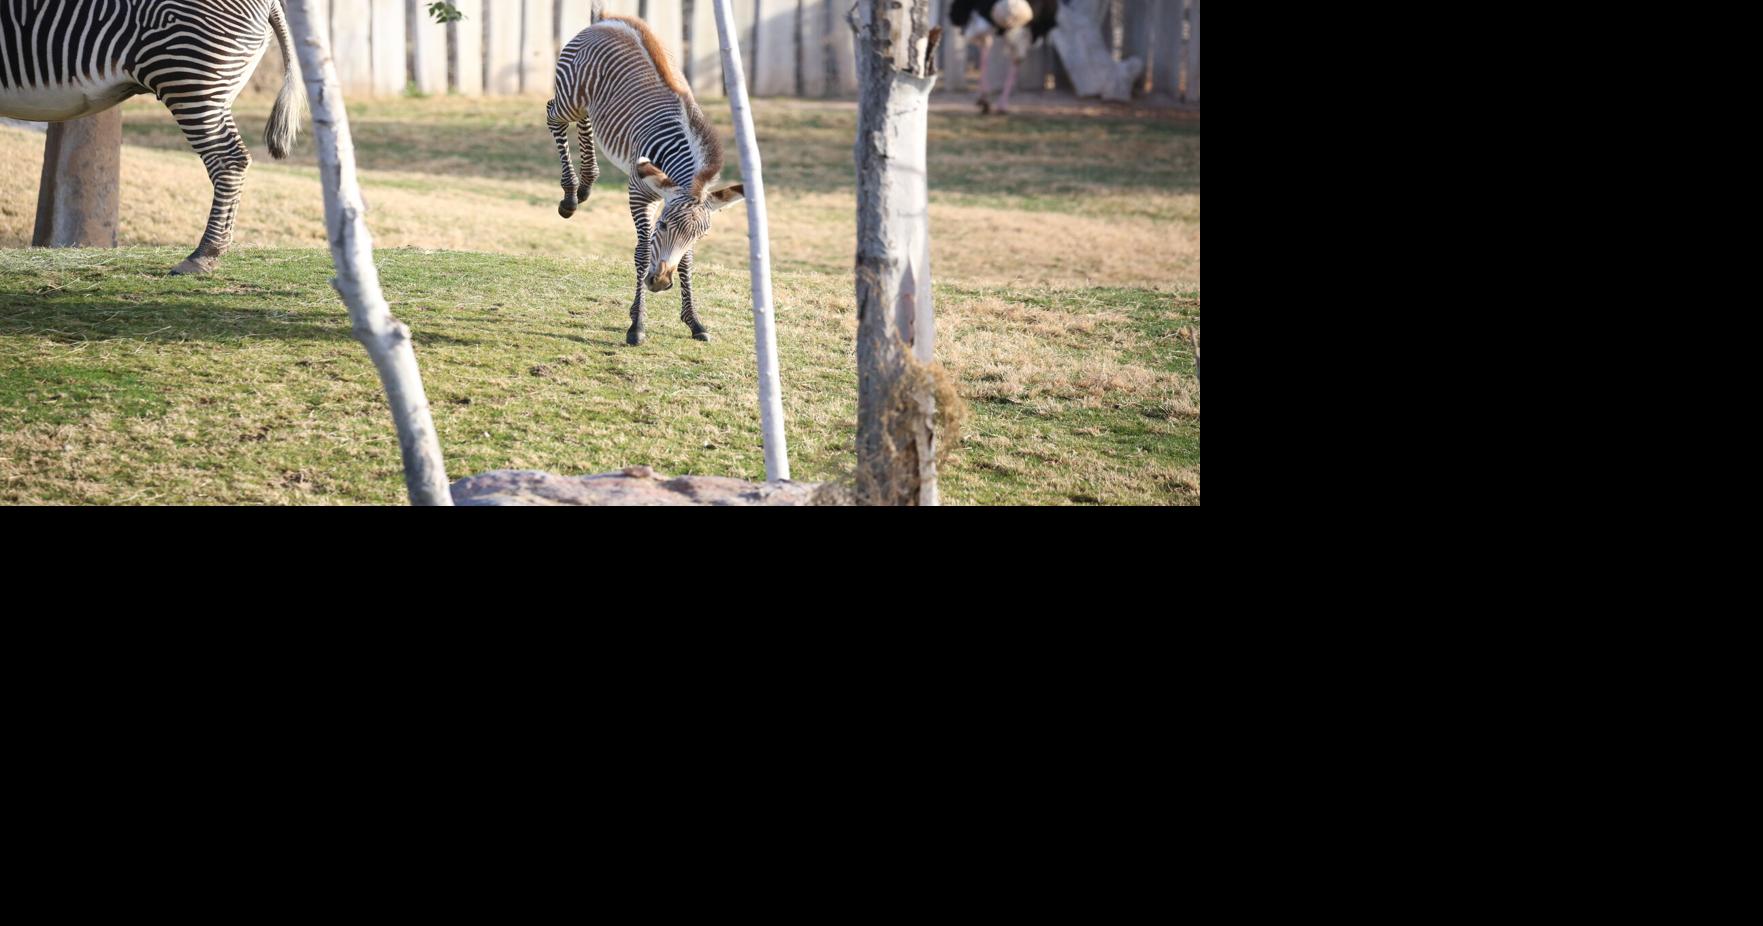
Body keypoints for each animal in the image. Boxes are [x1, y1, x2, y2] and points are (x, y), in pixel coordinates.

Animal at [548, 14, 744, 346]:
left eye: (700, 236)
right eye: (662, 226)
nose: (660, 282)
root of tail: (610, 21)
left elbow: (686, 262)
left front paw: (694, 321)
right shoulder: (639, 193)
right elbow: (642, 254)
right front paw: (637, 324)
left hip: (591, 104)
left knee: (586, 120)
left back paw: (588, 181)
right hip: (570, 97)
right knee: (553, 115)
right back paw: (571, 195)